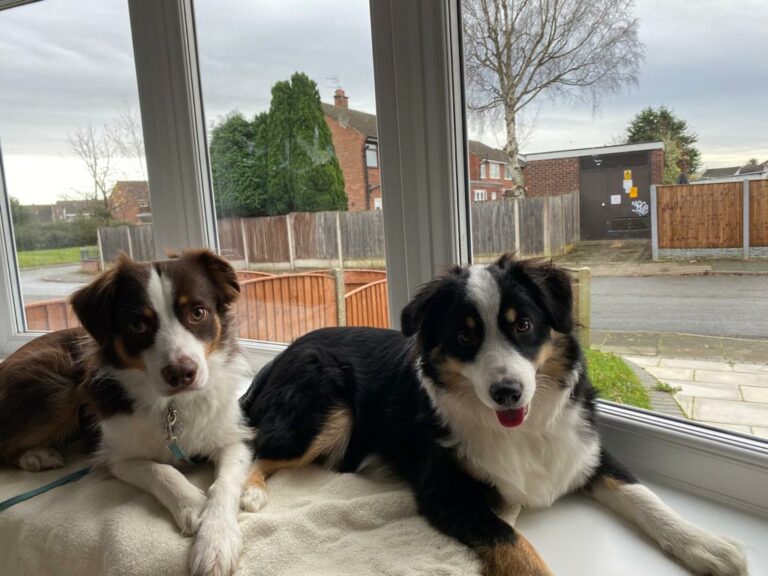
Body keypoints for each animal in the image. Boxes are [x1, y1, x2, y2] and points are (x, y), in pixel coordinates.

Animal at [0, 251, 268, 576]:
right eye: (138, 324)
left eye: (198, 312)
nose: (182, 374)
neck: (173, 407)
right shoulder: (116, 456)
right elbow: (160, 470)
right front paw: (193, 505)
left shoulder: (234, 439)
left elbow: (224, 484)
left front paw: (216, 541)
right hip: (57, 386)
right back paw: (36, 455)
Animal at [242, 256, 752, 576]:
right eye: (465, 337)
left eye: (522, 324)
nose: (507, 393)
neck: (525, 431)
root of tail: (283, 352)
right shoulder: (445, 491)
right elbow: (514, 544)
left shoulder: (585, 450)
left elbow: (644, 496)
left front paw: (707, 545)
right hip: (326, 407)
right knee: (258, 447)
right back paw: (249, 494)